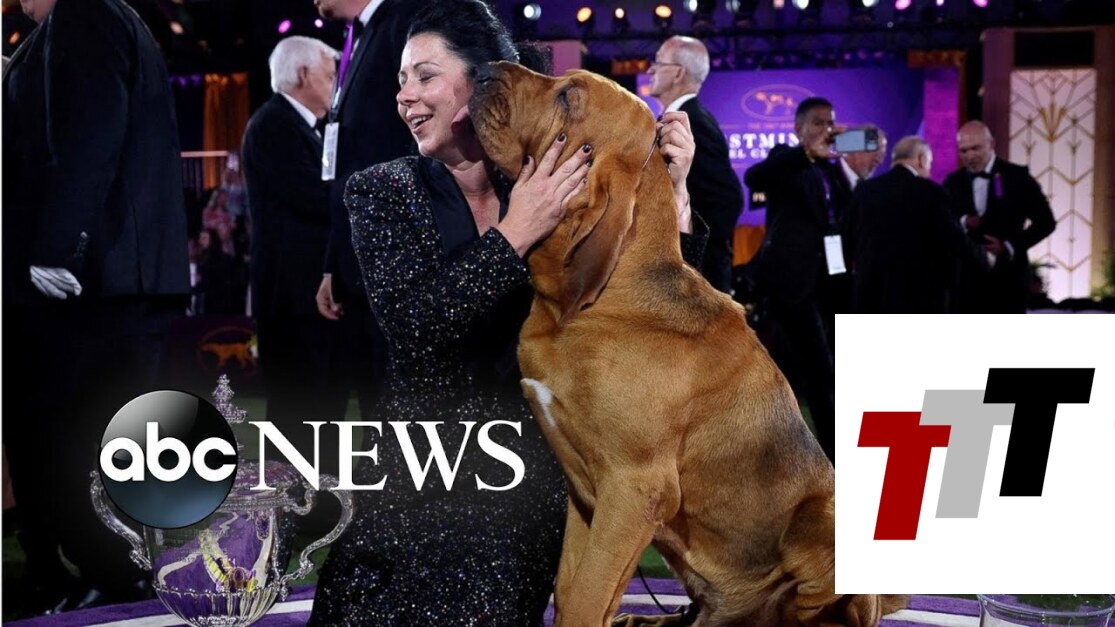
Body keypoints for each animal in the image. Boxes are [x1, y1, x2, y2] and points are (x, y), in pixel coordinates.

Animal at [470, 62, 903, 627]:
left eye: (569, 96)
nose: (482, 70)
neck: (610, 296)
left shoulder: (634, 489)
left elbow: (586, 598)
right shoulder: (584, 492)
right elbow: (570, 593)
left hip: (822, 518)